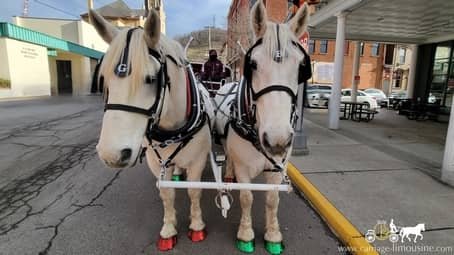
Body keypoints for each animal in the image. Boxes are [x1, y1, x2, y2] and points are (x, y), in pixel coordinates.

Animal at [90, 7, 215, 251]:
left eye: (151, 78)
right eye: (103, 79)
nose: (111, 155)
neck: (171, 127)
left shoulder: (197, 160)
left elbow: (194, 190)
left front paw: (196, 226)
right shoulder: (155, 162)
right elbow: (166, 193)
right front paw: (168, 230)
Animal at [215, 0, 310, 254]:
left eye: (301, 66)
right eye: (253, 64)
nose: (277, 141)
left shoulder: (278, 167)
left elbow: (272, 200)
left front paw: (273, 235)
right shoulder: (244, 167)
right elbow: (247, 197)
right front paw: (246, 234)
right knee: (228, 157)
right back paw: (228, 176)